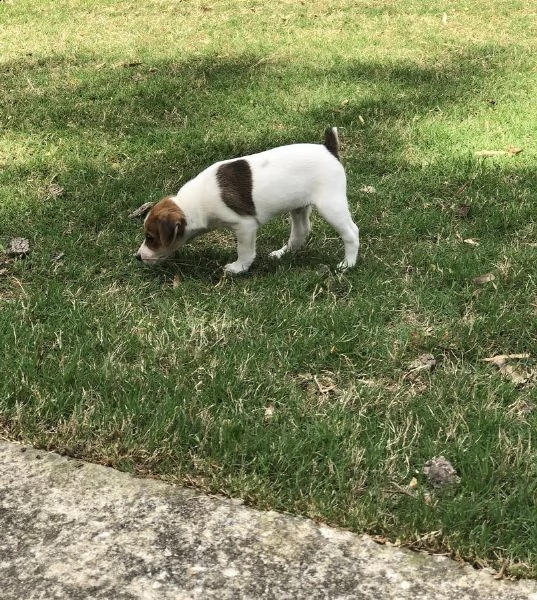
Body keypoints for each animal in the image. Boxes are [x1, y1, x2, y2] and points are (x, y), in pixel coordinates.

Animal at [136, 130, 358, 276]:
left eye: (151, 237)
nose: (138, 257)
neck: (192, 205)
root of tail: (329, 149)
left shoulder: (245, 226)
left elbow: (244, 251)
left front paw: (238, 268)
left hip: (331, 205)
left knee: (351, 232)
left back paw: (348, 264)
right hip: (298, 206)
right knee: (301, 231)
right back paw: (282, 254)